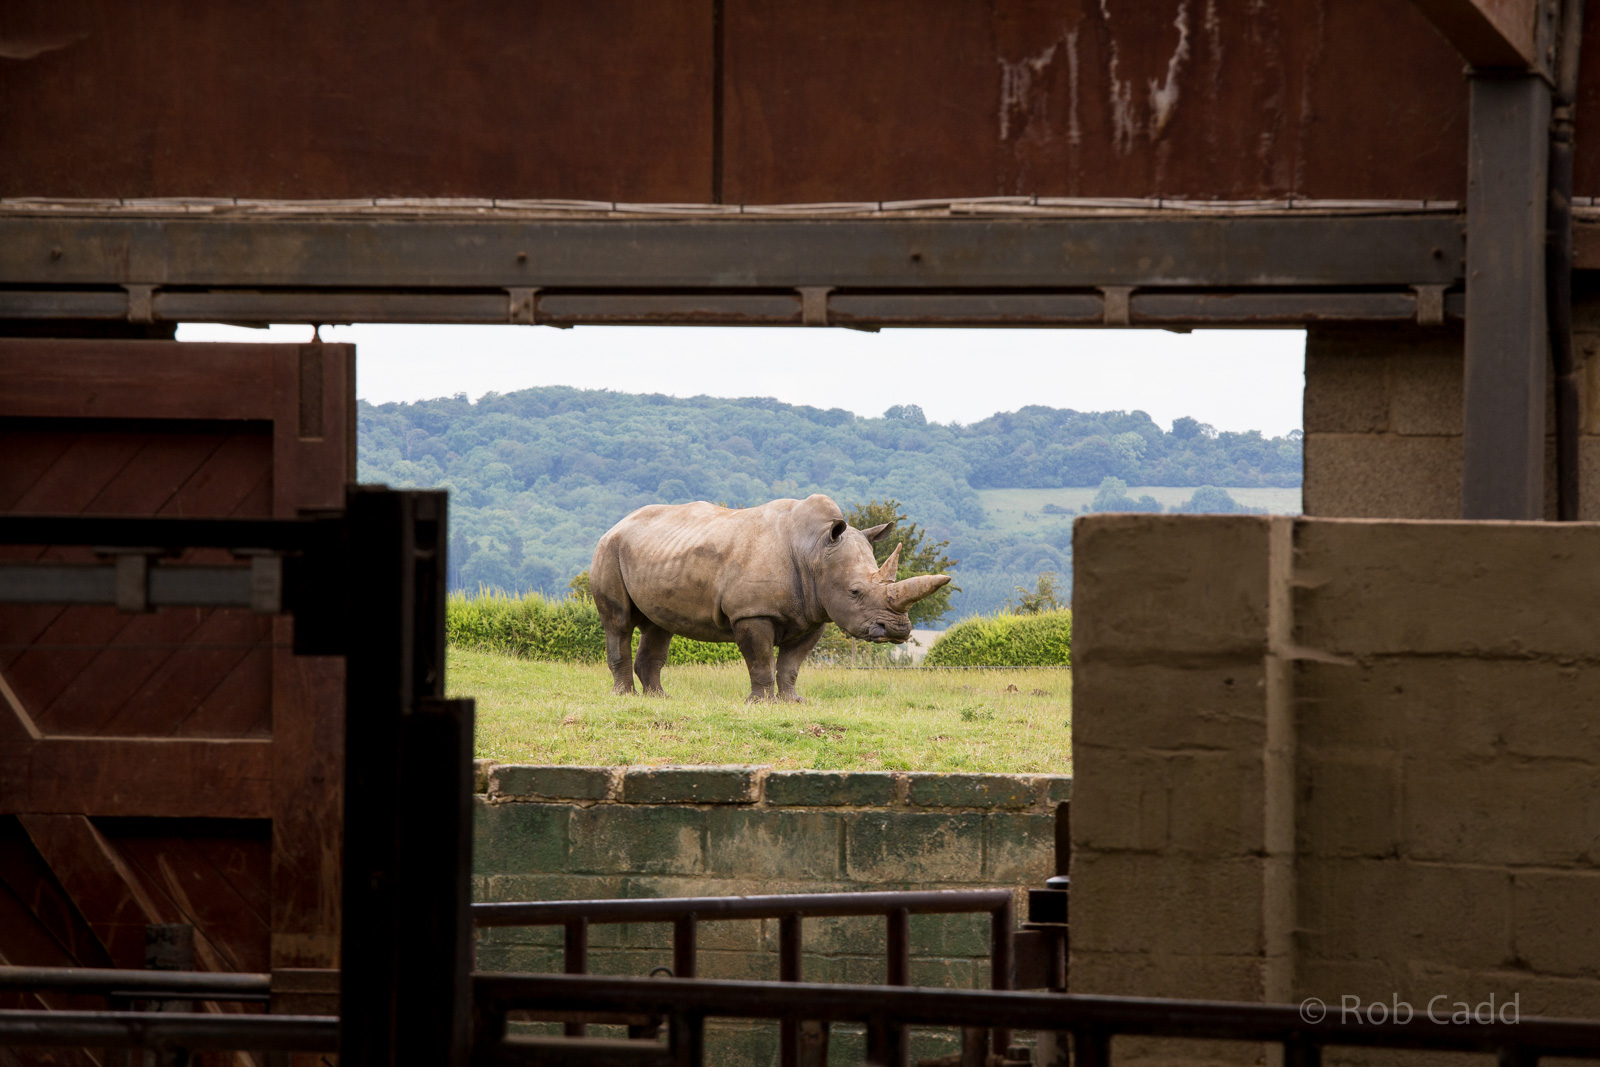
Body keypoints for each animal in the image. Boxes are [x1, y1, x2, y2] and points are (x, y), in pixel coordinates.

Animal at [590, 494, 950, 701]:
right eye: (855, 591)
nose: (898, 630)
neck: (814, 548)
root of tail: (617, 523)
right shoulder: (752, 612)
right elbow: (761, 661)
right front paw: (760, 703)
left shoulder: (814, 613)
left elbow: (791, 664)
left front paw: (793, 702)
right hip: (609, 550)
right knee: (619, 623)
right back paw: (624, 698)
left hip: (655, 552)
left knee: (658, 626)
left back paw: (659, 699)